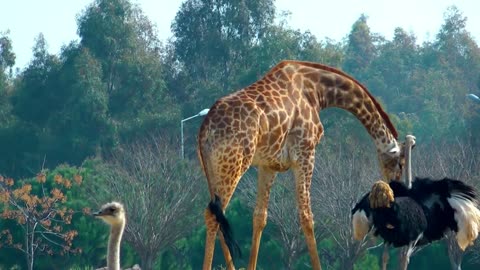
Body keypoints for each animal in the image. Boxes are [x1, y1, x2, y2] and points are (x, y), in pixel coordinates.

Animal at [196, 60, 404, 270]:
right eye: (400, 164)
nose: (396, 188)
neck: (317, 91)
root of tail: (204, 129)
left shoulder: (268, 164)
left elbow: (260, 217)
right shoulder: (305, 152)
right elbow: (307, 216)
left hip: (213, 168)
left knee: (218, 213)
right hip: (234, 163)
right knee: (212, 215)